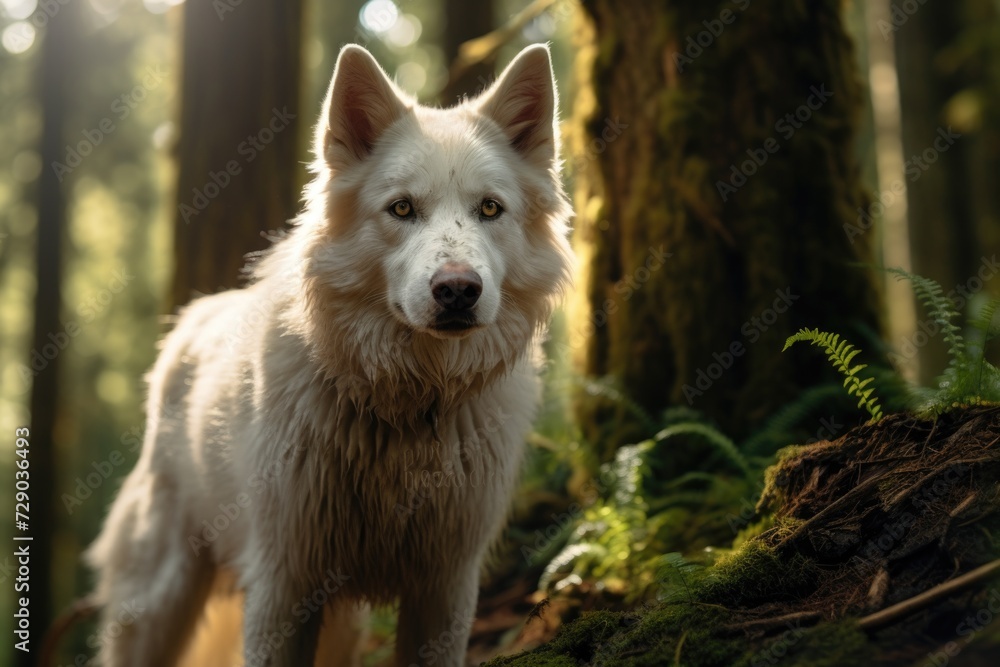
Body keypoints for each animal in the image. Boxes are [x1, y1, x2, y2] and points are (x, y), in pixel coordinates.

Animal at [84, 43, 573, 667]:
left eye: (490, 209)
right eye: (402, 209)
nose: (458, 290)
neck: (407, 407)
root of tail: (191, 322)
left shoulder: (445, 587)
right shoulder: (283, 584)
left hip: (340, 624)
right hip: (161, 602)